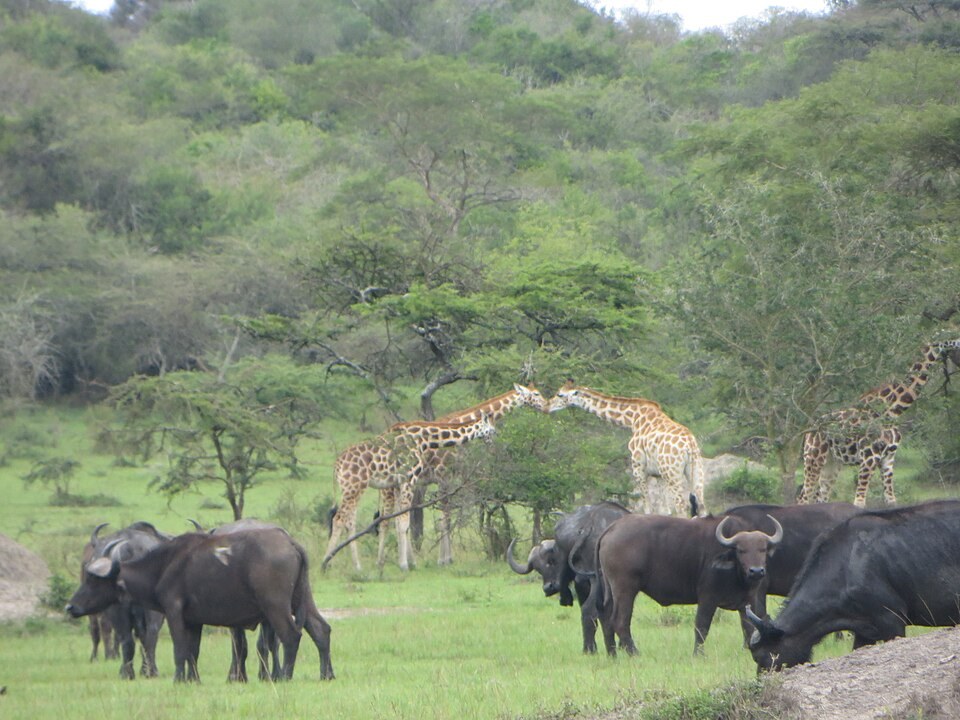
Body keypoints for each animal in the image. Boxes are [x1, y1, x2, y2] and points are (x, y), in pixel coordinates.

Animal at [323, 412, 496, 571]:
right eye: (493, 430)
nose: (493, 443)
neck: (423, 439)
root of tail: (336, 465)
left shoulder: (399, 483)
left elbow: (400, 521)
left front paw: (401, 562)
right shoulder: (409, 479)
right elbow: (404, 522)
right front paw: (404, 564)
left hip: (353, 489)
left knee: (349, 521)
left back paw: (355, 566)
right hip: (354, 487)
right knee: (339, 519)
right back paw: (326, 563)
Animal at [546, 380, 706, 516]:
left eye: (560, 394)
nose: (547, 406)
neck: (632, 419)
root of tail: (690, 445)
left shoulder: (638, 468)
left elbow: (647, 508)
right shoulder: (658, 474)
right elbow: (664, 510)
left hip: (672, 473)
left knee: (681, 505)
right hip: (694, 469)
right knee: (701, 504)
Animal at [799, 339, 960, 508]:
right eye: (956, 341)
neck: (891, 412)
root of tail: (809, 431)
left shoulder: (888, 459)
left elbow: (891, 501)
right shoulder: (869, 458)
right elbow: (859, 502)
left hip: (832, 463)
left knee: (820, 497)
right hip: (814, 458)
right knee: (804, 497)